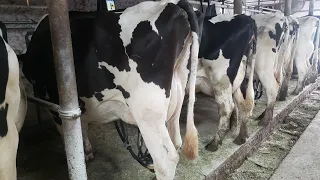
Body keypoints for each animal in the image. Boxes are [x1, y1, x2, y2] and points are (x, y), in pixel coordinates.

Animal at [18, 0, 204, 179]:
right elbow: (81, 125)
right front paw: (87, 151)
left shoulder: (53, 101)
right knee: (177, 141)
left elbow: (68, 133)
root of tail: (175, 5)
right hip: (177, 93)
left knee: (165, 160)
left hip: (147, 110)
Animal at [192, 13, 258, 150]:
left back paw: (214, 143)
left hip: (221, 79)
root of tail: (247, 18)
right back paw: (241, 137)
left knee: (227, 107)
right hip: (237, 79)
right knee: (242, 103)